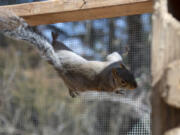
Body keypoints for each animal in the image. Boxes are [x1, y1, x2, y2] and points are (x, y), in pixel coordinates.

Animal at [0, 10, 137, 97]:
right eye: (123, 82)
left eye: (132, 74)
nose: (135, 87)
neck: (109, 73)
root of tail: (58, 64)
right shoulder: (105, 86)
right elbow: (110, 90)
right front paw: (118, 92)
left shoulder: (112, 61)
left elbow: (114, 55)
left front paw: (125, 50)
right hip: (74, 82)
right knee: (68, 84)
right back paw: (71, 91)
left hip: (65, 51)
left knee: (56, 44)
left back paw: (54, 38)